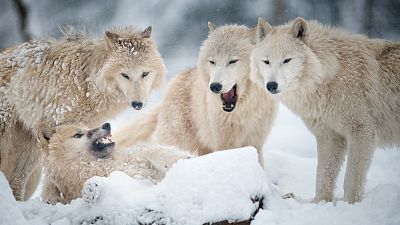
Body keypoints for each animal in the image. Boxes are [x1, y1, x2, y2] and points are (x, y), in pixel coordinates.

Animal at [114, 23, 276, 167]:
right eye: (212, 61)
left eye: (233, 61)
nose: (214, 86)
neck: (242, 112)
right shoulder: (225, 144)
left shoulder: (256, 143)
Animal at [253, 17, 400, 203]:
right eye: (266, 61)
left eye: (287, 60)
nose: (271, 85)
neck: (329, 74)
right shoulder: (329, 137)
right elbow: (323, 175)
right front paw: (319, 203)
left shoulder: (362, 133)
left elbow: (351, 181)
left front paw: (351, 205)